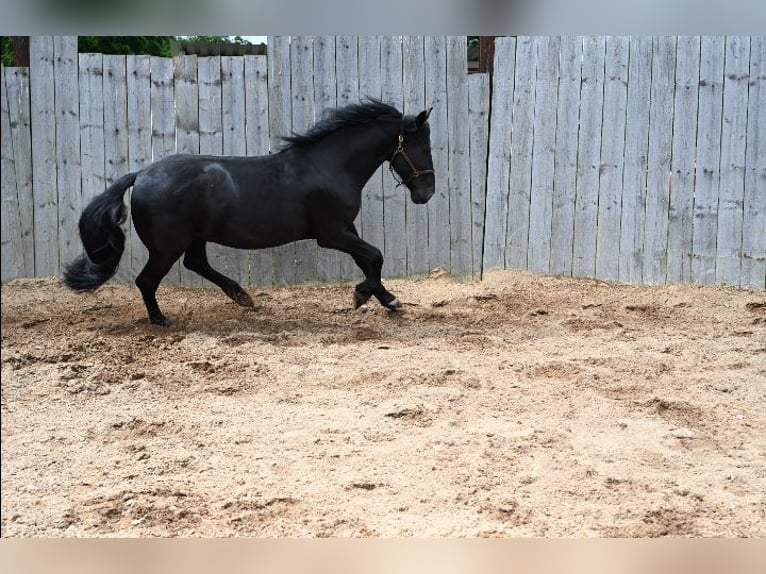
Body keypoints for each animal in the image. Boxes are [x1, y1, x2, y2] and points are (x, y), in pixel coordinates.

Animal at [63, 100, 436, 326]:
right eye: (422, 146)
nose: (426, 193)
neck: (330, 165)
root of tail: (141, 175)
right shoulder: (331, 234)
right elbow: (375, 256)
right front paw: (362, 296)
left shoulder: (346, 229)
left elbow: (368, 259)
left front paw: (388, 299)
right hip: (168, 246)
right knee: (147, 280)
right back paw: (162, 320)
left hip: (194, 238)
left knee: (196, 264)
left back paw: (243, 297)